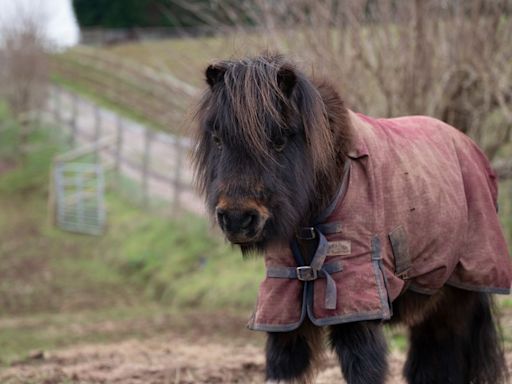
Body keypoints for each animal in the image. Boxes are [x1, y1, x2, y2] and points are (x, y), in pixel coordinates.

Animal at [191, 54, 508, 384]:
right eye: (217, 139)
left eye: (278, 140)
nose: (238, 219)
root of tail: (468, 145)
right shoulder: (284, 308)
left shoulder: (356, 308)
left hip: (459, 294)